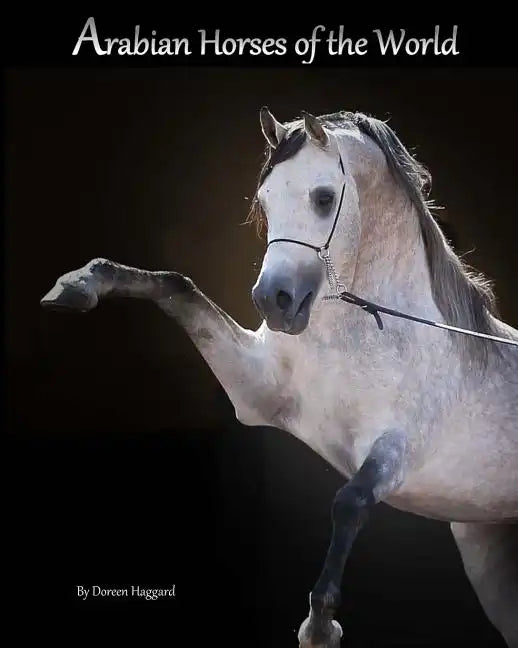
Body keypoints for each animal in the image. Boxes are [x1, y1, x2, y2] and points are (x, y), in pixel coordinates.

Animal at [40, 107, 518, 647]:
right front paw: (78, 284)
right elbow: (177, 286)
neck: (361, 332)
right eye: (265, 199)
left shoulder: (398, 449)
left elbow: (350, 501)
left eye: (324, 197)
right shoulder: (257, 393)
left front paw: (319, 626)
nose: (275, 301)